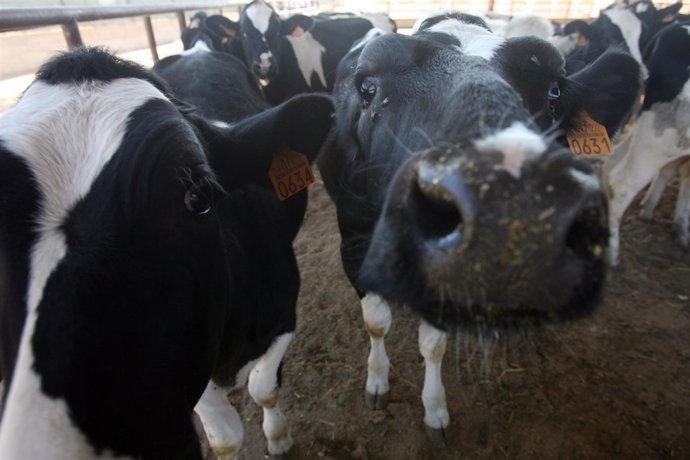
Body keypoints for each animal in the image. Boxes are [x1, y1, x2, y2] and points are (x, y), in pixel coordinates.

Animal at [317, 14, 641, 445]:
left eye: (553, 90)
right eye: (369, 87)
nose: (508, 209)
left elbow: (433, 344)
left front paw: (434, 409)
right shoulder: (352, 243)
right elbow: (376, 322)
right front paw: (377, 381)